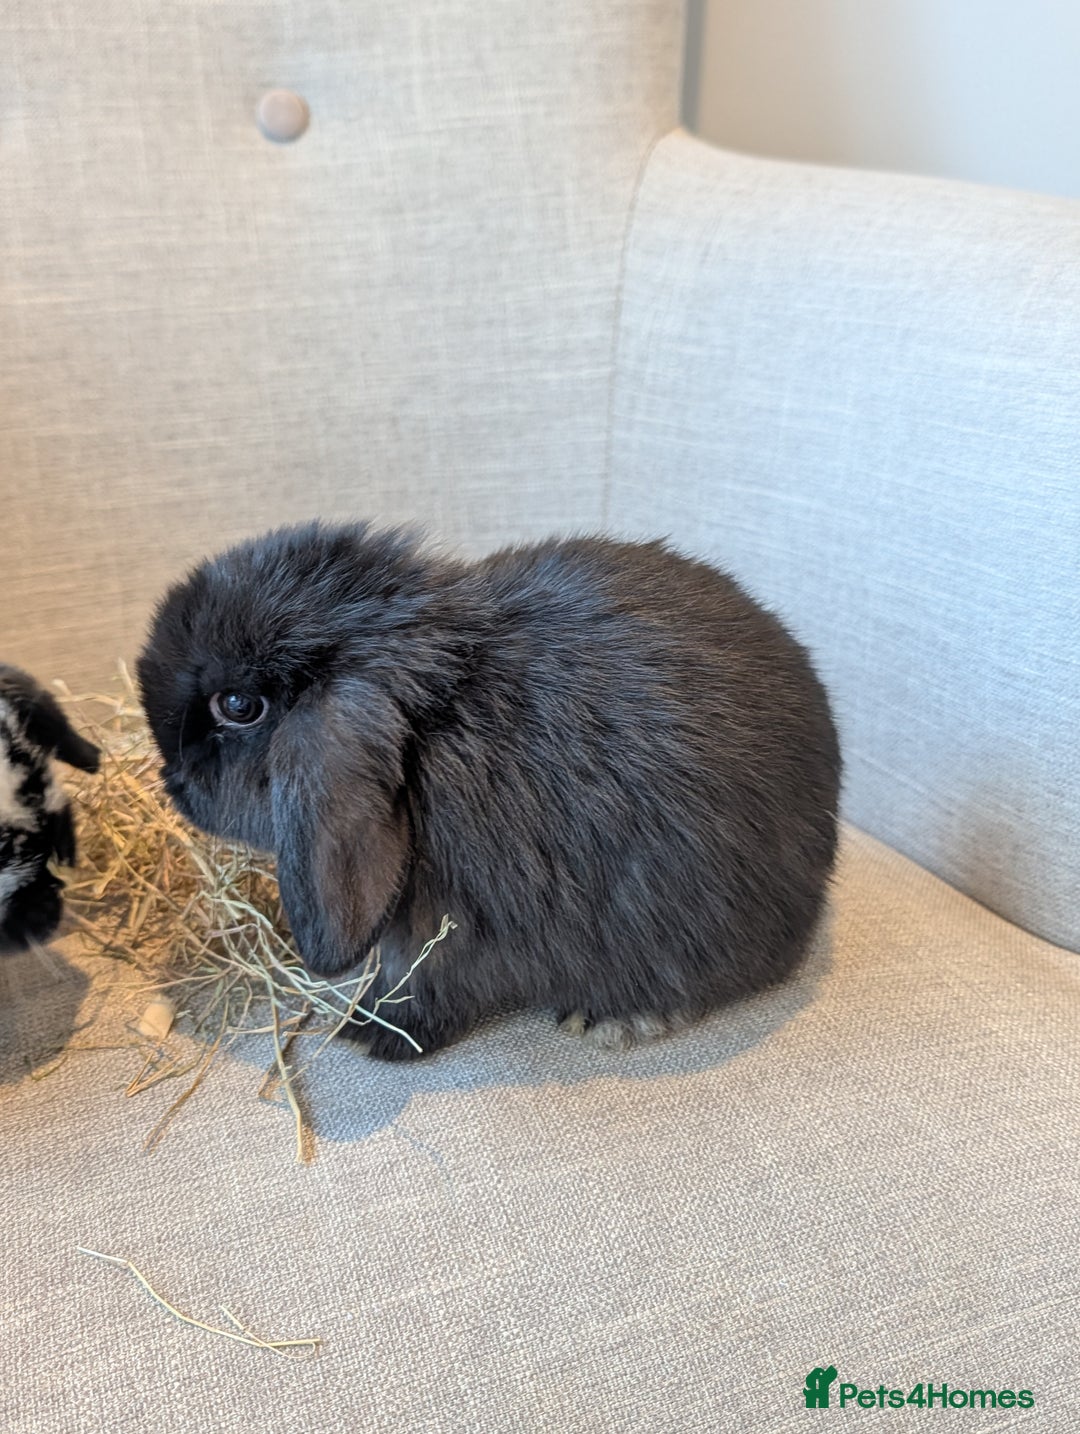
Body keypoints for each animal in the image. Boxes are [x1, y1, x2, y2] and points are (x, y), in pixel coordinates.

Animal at [137, 522, 841, 1061]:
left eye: (238, 706)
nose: (173, 784)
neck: (431, 729)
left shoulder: (446, 932)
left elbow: (421, 990)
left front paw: (368, 1035)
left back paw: (614, 1018)